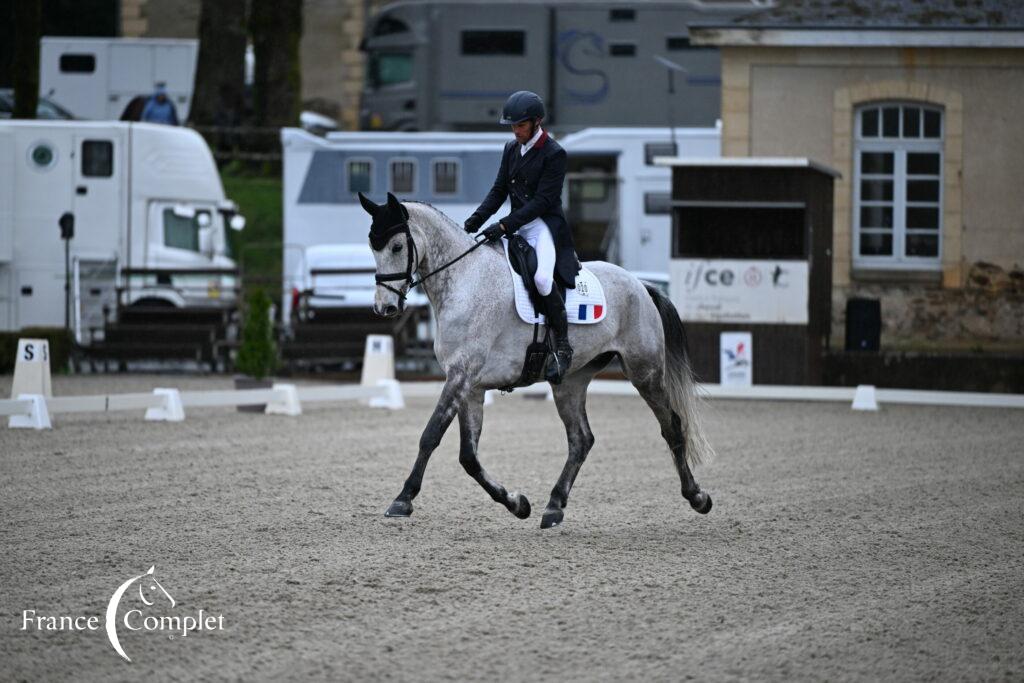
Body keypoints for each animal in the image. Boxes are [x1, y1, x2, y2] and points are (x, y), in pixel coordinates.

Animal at [360, 192, 712, 528]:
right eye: (372, 247)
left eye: (397, 245)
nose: (384, 307)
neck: (465, 281)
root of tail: (640, 284)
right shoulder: (470, 387)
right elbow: (468, 457)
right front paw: (517, 504)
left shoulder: (460, 377)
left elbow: (430, 435)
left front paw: (403, 499)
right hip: (570, 382)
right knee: (581, 439)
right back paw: (554, 506)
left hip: (644, 371)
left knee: (671, 426)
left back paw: (697, 497)